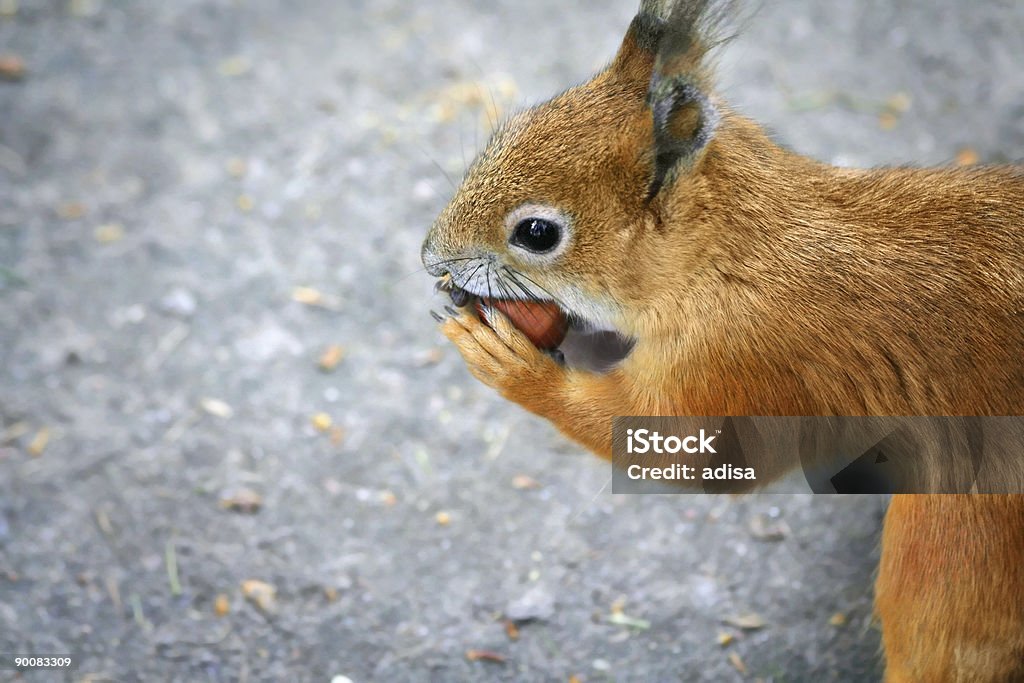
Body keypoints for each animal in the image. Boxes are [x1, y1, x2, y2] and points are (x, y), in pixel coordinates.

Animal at [417, 0, 1024, 679]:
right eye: (512, 126)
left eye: (538, 233)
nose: (430, 259)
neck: (731, 250)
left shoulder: (739, 357)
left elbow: (697, 451)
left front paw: (514, 366)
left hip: (958, 541)